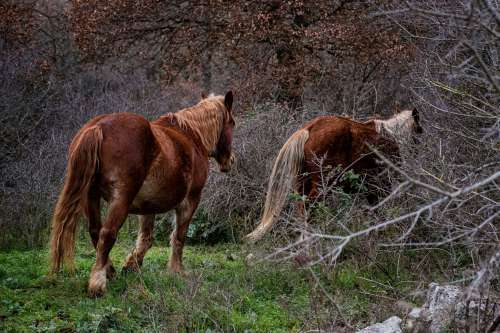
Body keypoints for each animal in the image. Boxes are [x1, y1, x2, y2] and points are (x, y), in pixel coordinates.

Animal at [49, 89, 235, 294]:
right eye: (232, 123)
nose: (230, 161)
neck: (192, 137)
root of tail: (98, 127)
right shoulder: (190, 201)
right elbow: (179, 236)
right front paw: (176, 271)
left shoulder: (148, 207)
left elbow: (146, 238)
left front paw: (131, 266)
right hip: (120, 199)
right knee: (107, 234)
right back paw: (98, 283)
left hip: (91, 197)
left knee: (95, 231)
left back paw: (110, 271)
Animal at [244, 108, 424, 241]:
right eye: (419, 131)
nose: (418, 152)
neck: (391, 135)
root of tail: (308, 129)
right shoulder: (380, 185)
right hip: (323, 183)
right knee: (310, 205)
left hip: (302, 183)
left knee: (302, 207)